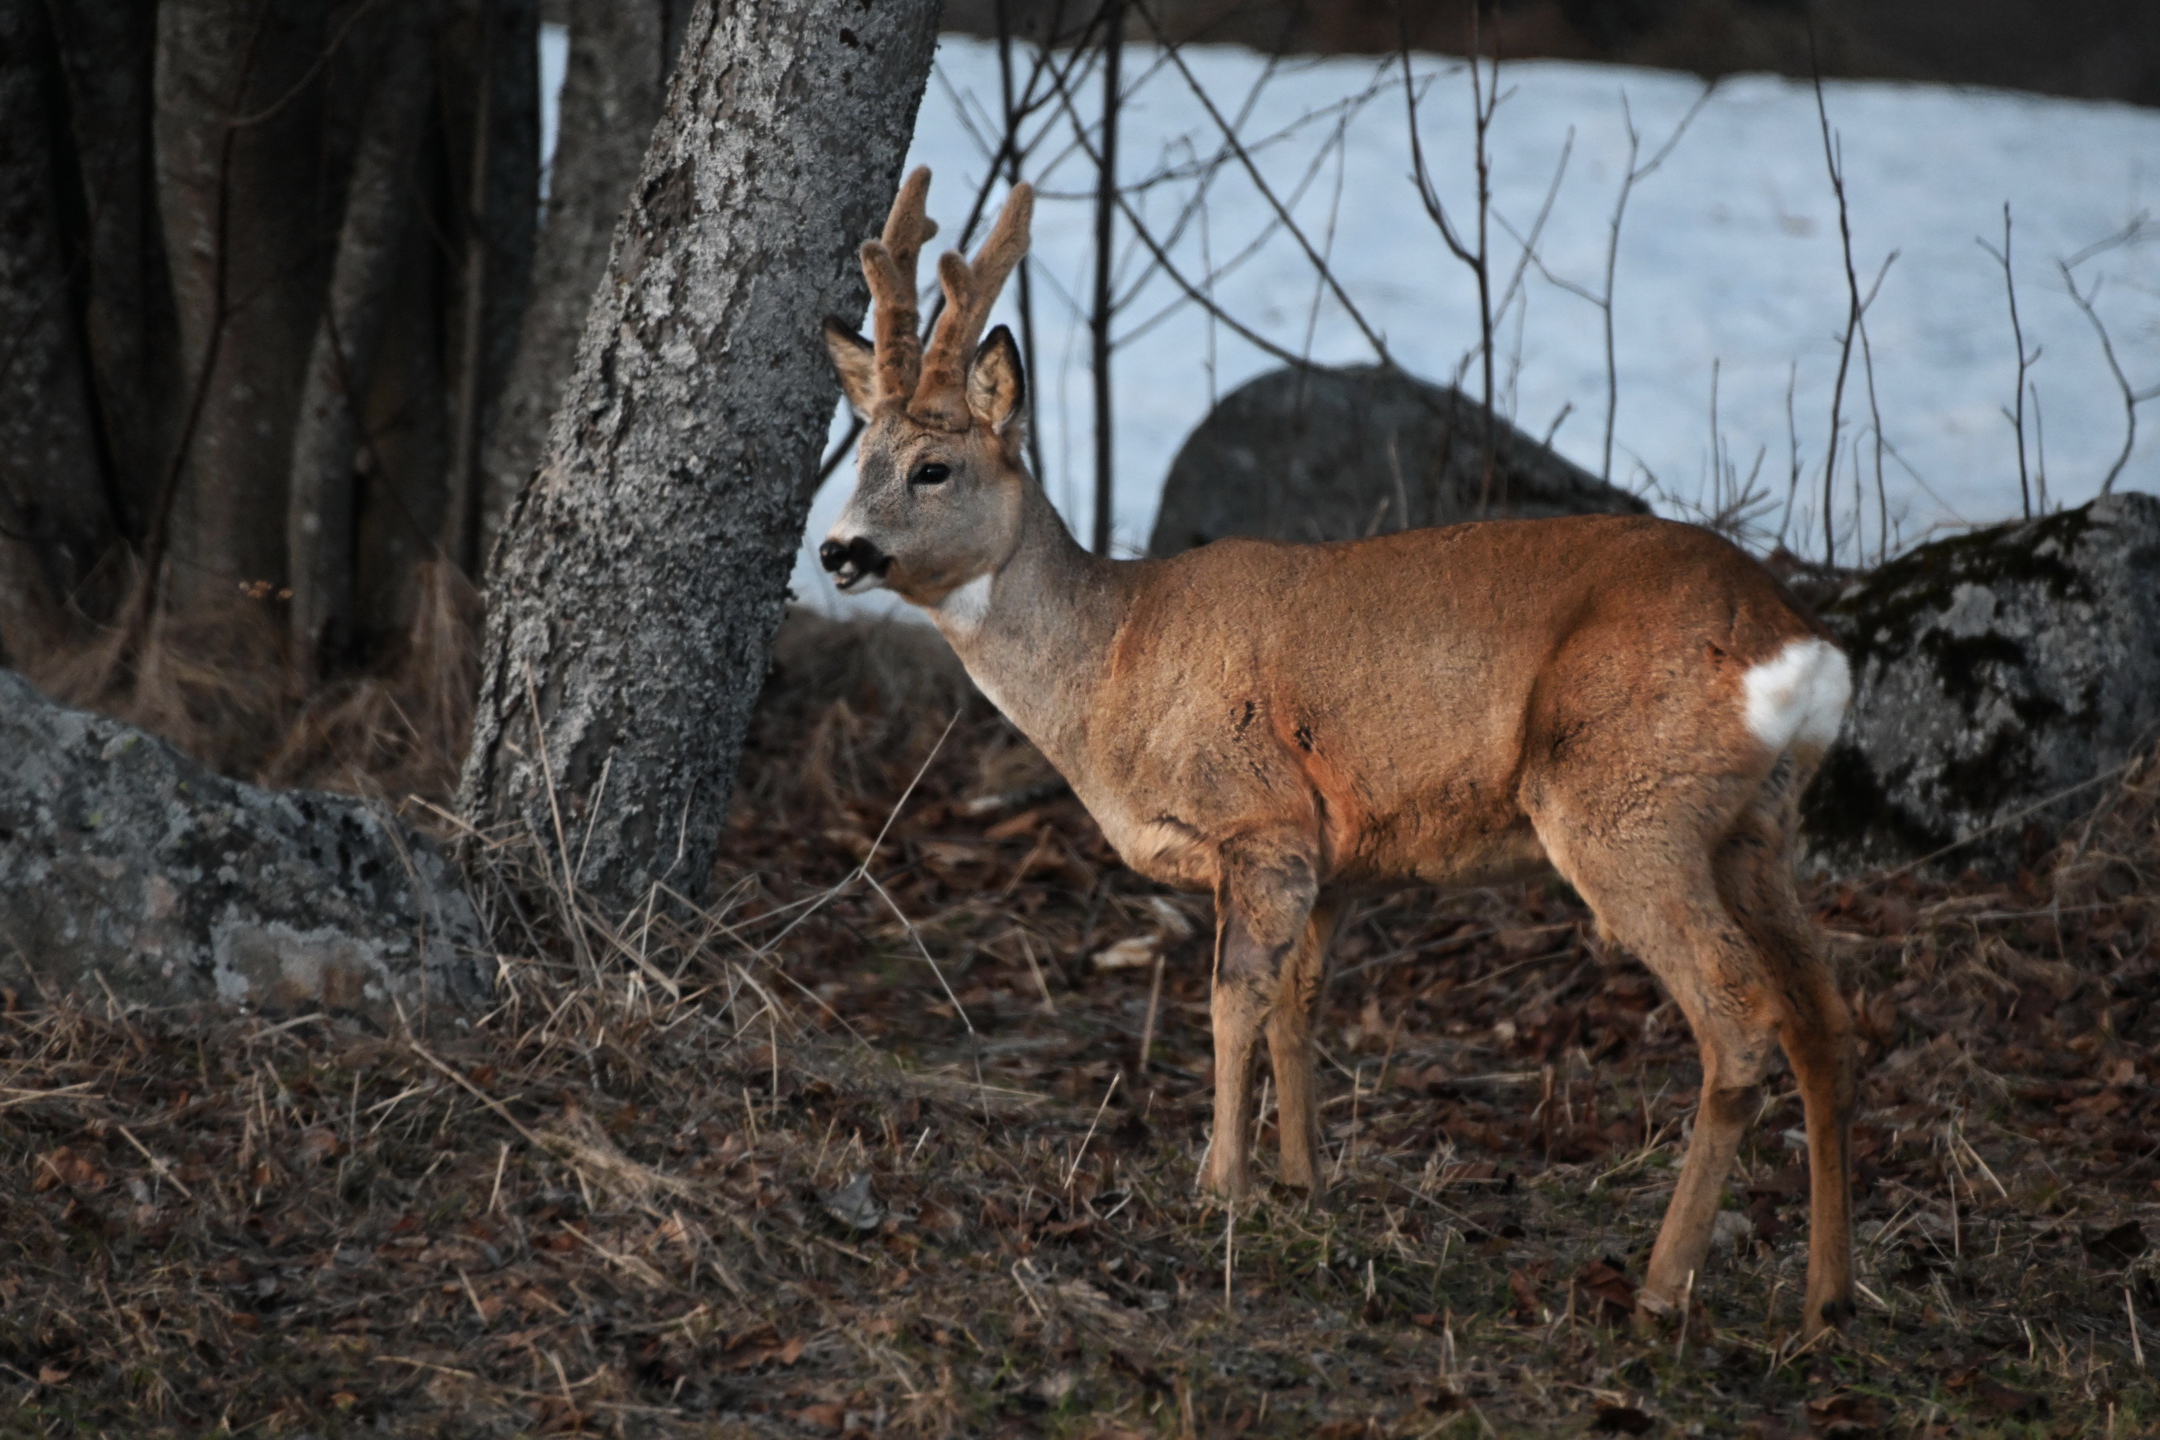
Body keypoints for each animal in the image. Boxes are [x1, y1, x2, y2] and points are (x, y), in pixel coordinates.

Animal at [816, 171, 1866, 1338]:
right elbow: (1297, 1001)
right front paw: (1302, 1184)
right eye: (856, 459)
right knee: (1826, 1016)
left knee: (1741, 1018)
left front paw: (1218, 1187)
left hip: (1624, 805)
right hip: (1756, 828)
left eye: (934, 467)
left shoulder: (1262, 815)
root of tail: (1799, 648)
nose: (838, 549)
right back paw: (1826, 1298)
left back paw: (1661, 1285)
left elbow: (1232, 997)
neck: (1111, 669)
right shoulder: (1337, 855)